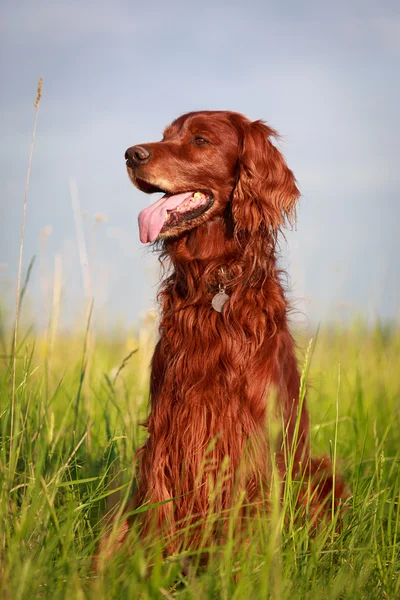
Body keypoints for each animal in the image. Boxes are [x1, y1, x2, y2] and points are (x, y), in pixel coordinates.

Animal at [97, 110, 346, 564]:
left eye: (200, 139)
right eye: (165, 136)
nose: (130, 154)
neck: (213, 282)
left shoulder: (250, 435)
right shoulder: (167, 429)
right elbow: (159, 503)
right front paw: (152, 563)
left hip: (322, 476)